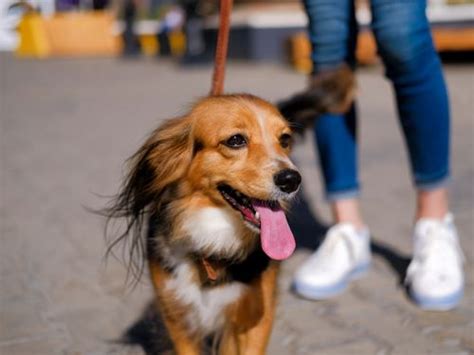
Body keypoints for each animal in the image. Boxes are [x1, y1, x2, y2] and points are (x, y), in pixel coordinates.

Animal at [105, 93, 302, 354]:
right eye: (236, 140)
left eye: (285, 140)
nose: (292, 180)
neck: (214, 237)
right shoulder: (177, 315)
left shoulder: (256, 317)